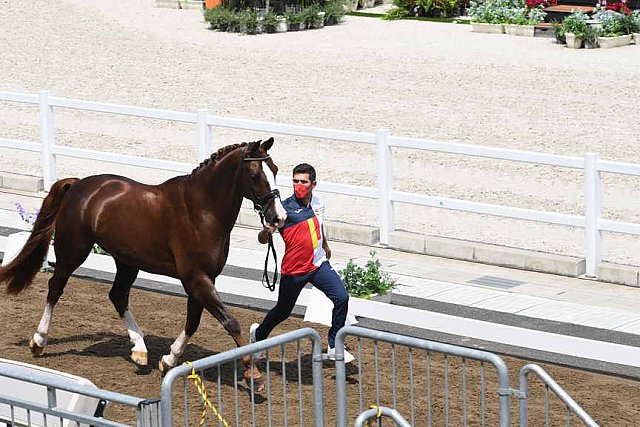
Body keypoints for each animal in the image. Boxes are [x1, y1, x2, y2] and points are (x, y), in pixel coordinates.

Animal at [0, 139, 284, 382]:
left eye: (275, 169)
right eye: (255, 174)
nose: (278, 218)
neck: (201, 211)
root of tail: (79, 185)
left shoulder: (203, 279)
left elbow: (193, 322)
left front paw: (168, 360)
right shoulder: (197, 279)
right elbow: (229, 321)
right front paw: (253, 374)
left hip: (127, 261)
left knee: (117, 295)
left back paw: (140, 351)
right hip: (73, 251)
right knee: (56, 288)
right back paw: (39, 341)